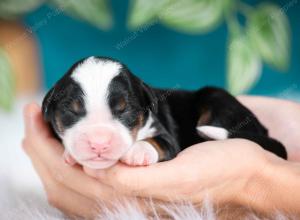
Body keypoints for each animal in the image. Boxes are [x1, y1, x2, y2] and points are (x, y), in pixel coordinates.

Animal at [41, 56, 288, 168]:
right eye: (71, 111)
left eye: (125, 109)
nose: (99, 144)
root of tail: (263, 129)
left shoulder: (164, 133)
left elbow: (158, 142)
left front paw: (138, 151)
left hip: (216, 99)